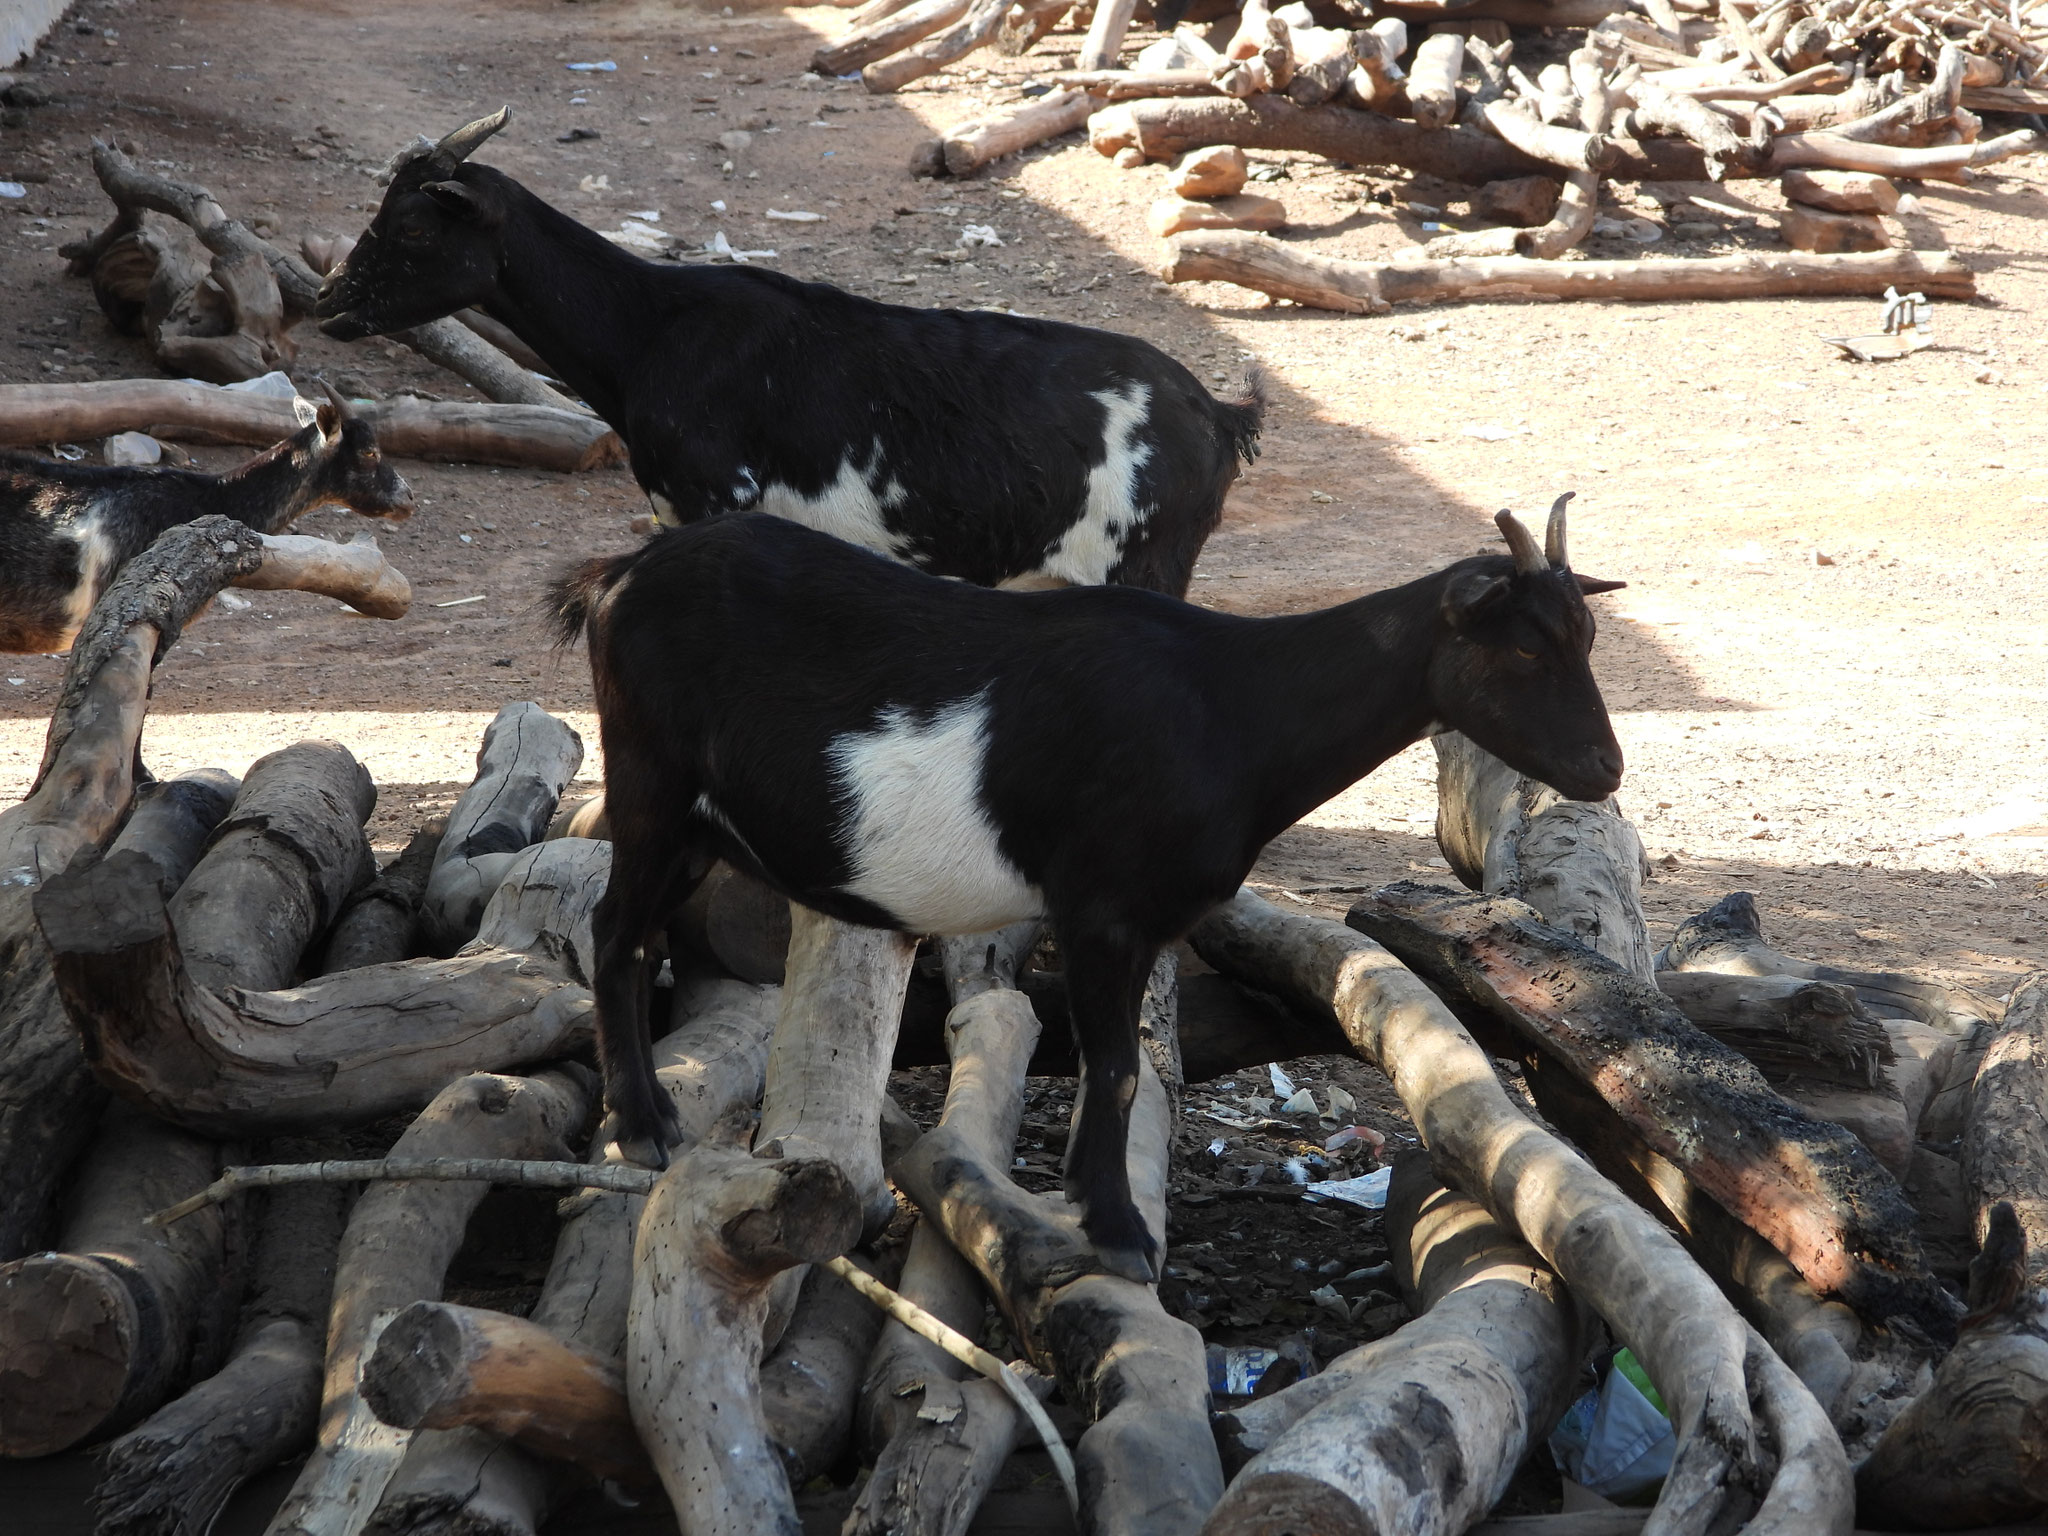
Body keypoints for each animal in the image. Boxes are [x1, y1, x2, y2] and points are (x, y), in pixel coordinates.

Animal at [316, 110, 1262, 598]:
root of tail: (1218, 413)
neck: (654, 328)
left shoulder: (713, 501)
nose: (327, 302)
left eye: (411, 226)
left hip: (1142, 565)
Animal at [548, 494, 1625, 1281]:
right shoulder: (1101, 907)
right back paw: (643, 1127)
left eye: (1585, 637)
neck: (1230, 708)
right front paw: (1118, 1235)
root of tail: (616, 577)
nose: (1603, 769)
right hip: (649, 780)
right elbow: (1112, 1066)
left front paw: (1087, 1199)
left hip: (696, 821)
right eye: (1521, 645)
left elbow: (1125, 1063)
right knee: (613, 932)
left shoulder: (1144, 919)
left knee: (637, 933)